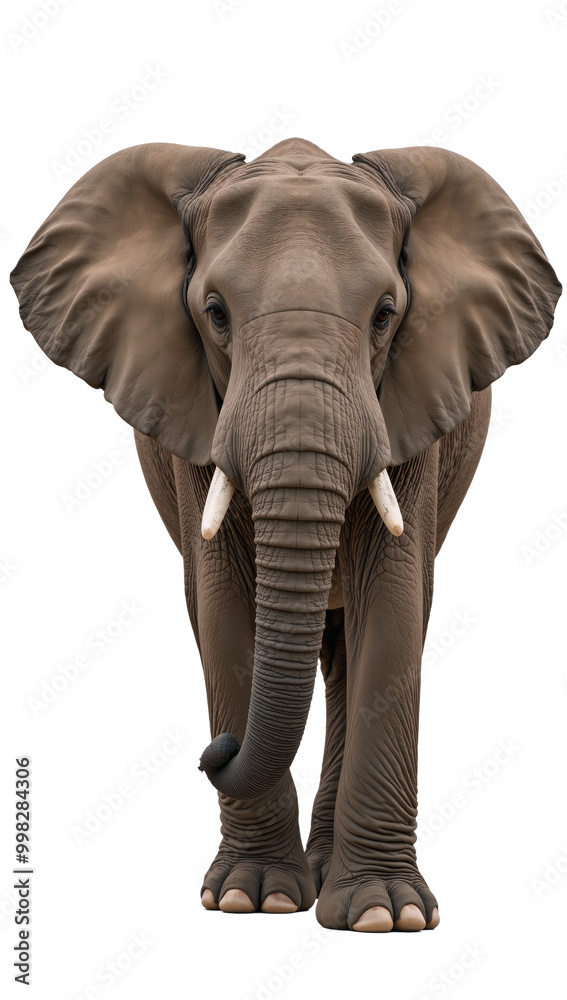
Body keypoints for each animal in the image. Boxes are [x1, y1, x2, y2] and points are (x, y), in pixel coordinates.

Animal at [11, 137, 561, 932]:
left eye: (385, 315)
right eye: (214, 313)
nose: (215, 749)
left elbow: (393, 603)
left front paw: (384, 916)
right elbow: (219, 604)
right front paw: (252, 898)